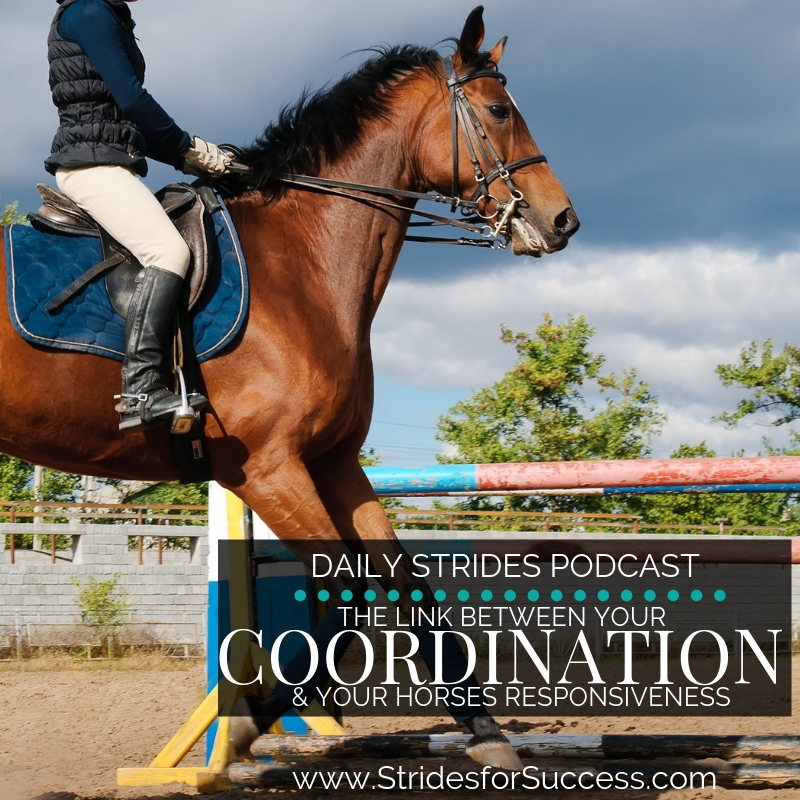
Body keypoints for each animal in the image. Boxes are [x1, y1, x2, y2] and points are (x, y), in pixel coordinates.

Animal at [1, 7, 577, 770]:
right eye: (499, 111)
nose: (563, 221)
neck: (304, 263)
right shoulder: (266, 468)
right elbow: (345, 589)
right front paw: (258, 716)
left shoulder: (334, 462)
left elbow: (404, 586)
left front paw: (485, 731)